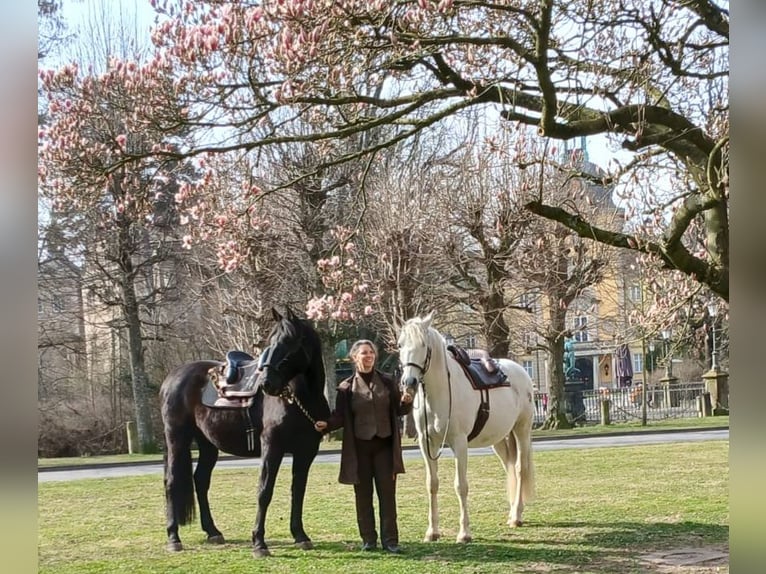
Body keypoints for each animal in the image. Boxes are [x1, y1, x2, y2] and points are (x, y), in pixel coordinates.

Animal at [160, 307, 330, 557]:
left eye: (289, 341)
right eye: (270, 341)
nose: (267, 383)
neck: (300, 399)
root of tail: (172, 378)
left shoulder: (306, 452)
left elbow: (297, 491)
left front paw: (300, 536)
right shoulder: (272, 447)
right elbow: (264, 491)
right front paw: (259, 543)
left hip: (208, 445)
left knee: (200, 481)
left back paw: (213, 532)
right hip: (177, 439)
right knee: (171, 481)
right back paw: (173, 537)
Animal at [397, 312, 536, 543]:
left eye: (423, 345)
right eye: (400, 344)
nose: (409, 382)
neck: (441, 392)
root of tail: (521, 371)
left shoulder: (459, 444)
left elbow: (461, 486)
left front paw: (464, 533)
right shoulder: (427, 444)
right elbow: (432, 484)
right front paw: (432, 531)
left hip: (521, 430)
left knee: (519, 468)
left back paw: (516, 516)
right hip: (500, 440)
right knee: (510, 468)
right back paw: (512, 513)